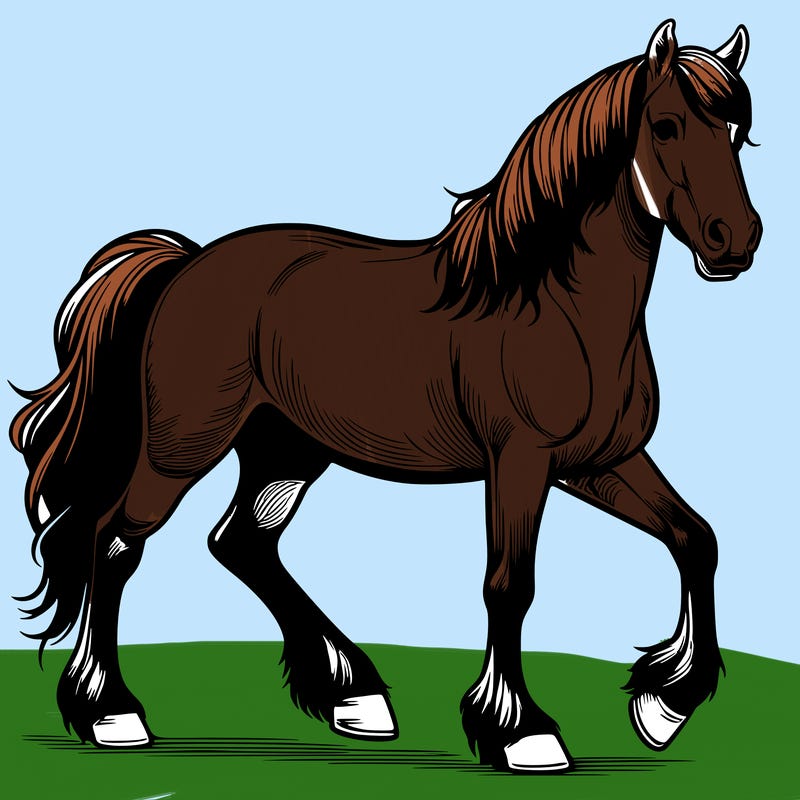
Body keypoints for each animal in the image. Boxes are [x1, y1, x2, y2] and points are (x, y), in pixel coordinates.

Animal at [10, 20, 760, 773]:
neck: (555, 306)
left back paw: (354, 695)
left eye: (738, 131)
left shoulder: (599, 462)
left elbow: (696, 539)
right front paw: (522, 732)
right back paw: (112, 714)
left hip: (285, 450)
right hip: (182, 448)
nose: (737, 240)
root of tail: (186, 265)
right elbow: (509, 585)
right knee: (115, 542)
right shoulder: (520, 463)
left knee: (242, 543)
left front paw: (664, 705)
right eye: (665, 126)